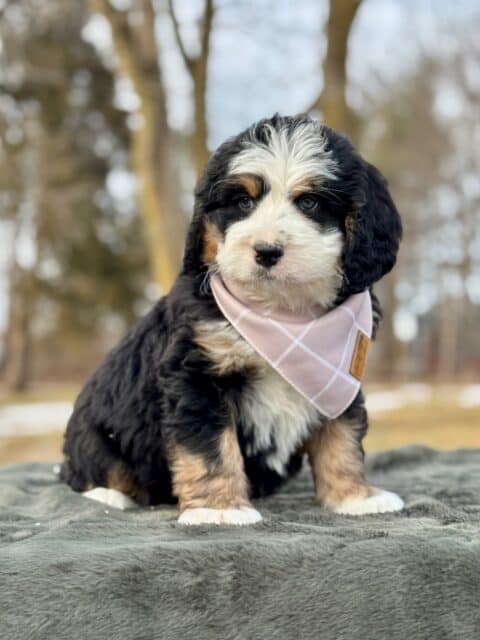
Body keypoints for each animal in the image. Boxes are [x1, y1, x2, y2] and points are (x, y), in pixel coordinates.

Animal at [61, 114, 404, 524]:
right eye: (243, 202)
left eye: (310, 202)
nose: (267, 251)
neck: (281, 313)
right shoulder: (197, 376)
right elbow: (210, 447)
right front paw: (218, 508)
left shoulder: (341, 381)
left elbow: (342, 437)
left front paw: (354, 497)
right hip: (95, 435)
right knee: (91, 471)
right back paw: (110, 496)